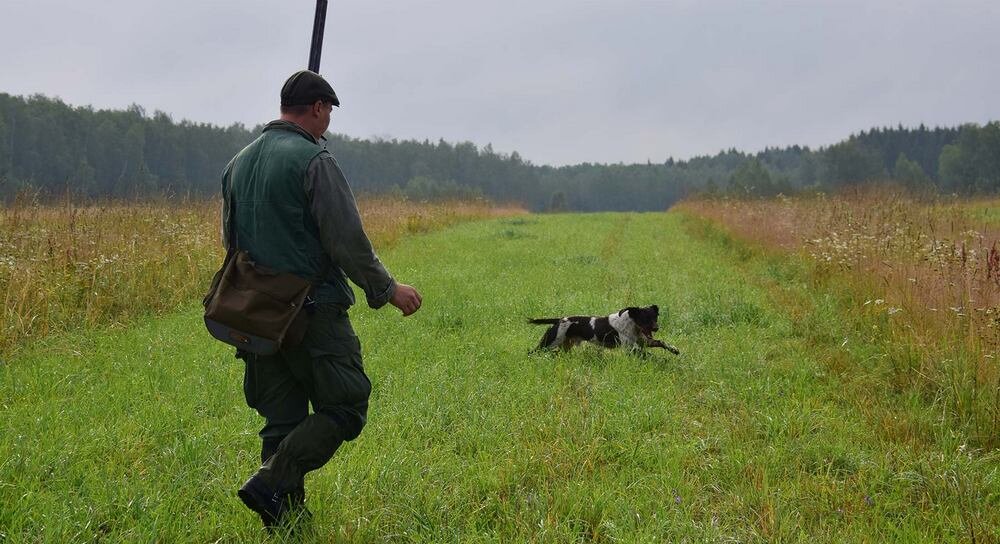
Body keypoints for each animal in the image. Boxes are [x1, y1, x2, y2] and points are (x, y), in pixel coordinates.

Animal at [532, 304, 680, 354]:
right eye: (644, 319)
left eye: (655, 317)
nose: (656, 328)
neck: (632, 325)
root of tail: (559, 319)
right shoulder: (631, 348)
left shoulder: (644, 341)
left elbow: (661, 342)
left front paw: (674, 349)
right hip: (550, 342)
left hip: (565, 346)